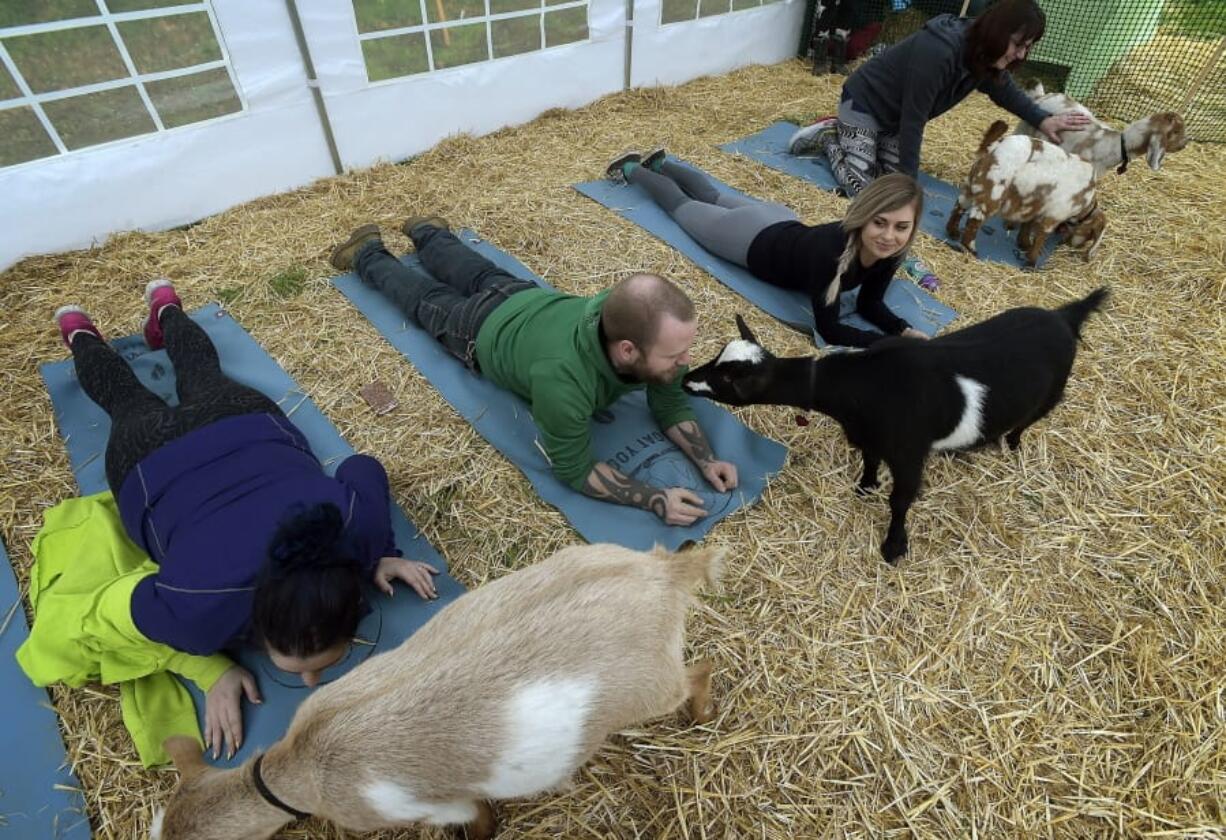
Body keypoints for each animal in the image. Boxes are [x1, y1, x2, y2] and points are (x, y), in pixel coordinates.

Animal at [153, 539, 725, 833]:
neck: (304, 766)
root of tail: (664, 574)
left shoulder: (425, 807)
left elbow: (475, 816)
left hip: (650, 686)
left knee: (698, 671)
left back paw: (698, 716)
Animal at [686, 288, 1108, 564]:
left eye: (727, 379)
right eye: (717, 358)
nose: (686, 380)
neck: (865, 386)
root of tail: (1064, 316)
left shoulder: (909, 454)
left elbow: (900, 500)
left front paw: (894, 547)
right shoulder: (869, 436)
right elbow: (870, 461)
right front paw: (865, 486)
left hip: (1051, 394)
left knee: (1029, 421)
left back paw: (1012, 443)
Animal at [941, 117, 1108, 264]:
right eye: (1091, 234)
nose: (1078, 246)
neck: (1086, 201)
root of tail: (994, 148)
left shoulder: (1036, 208)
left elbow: (1027, 226)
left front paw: (1024, 244)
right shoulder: (1053, 216)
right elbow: (1040, 237)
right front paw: (1032, 261)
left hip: (970, 187)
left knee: (959, 207)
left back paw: (953, 232)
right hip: (991, 196)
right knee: (974, 222)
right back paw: (970, 249)